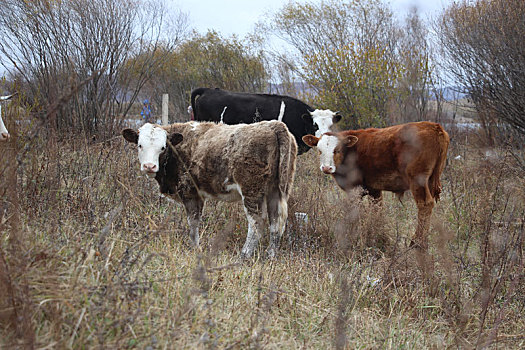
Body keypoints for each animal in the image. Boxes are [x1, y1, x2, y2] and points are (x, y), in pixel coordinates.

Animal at [120, 121, 296, 258]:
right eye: (140, 145)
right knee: (277, 222)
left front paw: (194, 247)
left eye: (163, 147)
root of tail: (274, 125)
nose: (149, 166)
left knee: (257, 222)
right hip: (276, 191)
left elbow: (193, 222)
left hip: (252, 190)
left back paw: (244, 255)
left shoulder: (189, 192)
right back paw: (270, 255)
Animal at [302, 121, 450, 250]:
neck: (350, 151)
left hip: (417, 180)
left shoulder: (354, 188)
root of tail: (434, 127)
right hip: (430, 180)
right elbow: (376, 209)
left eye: (337, 150)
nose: (326, 168)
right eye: (319, 150)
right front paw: (378, 236)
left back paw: (417, 243)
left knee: (425, 204)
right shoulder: (374, 188)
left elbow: (355, 212)